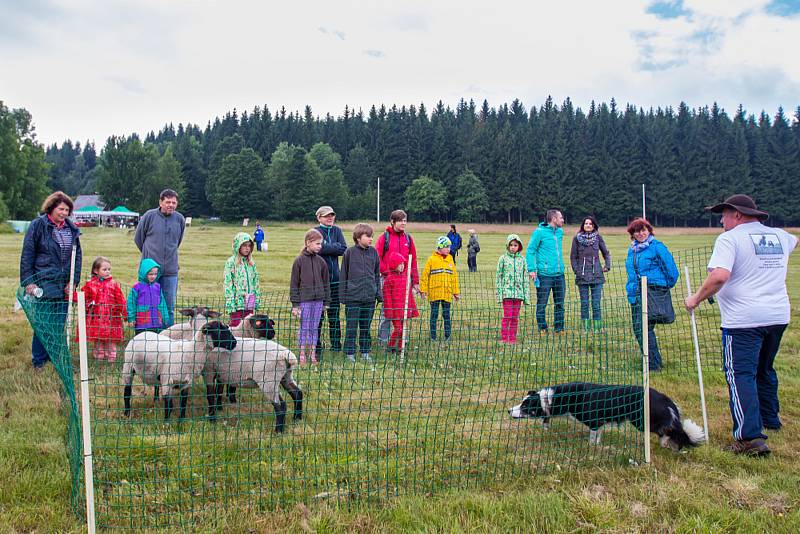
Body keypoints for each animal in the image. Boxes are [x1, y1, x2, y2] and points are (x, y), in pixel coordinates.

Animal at [510, 382, 704, 452]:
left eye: (525, 406)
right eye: (521, 402)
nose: (509, 410)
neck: (554, 399)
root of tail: (665, 398)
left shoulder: (593, 421)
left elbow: (592, 437)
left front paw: (591, 447)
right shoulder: (600, 423)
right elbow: (598, 436)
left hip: (642, 421)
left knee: (668, 431)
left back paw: (665, 442)